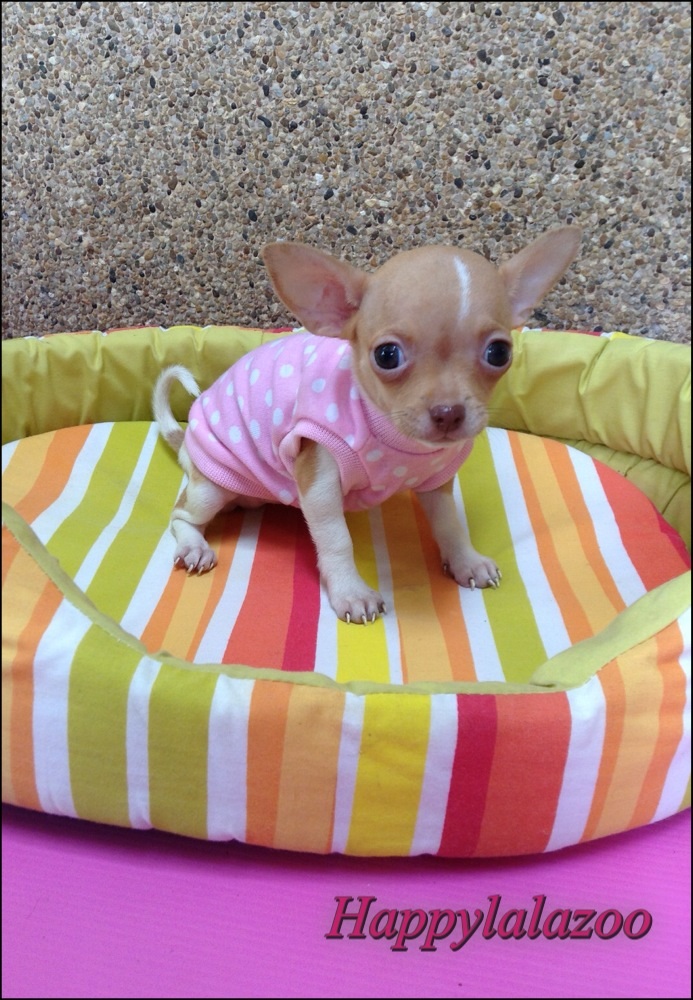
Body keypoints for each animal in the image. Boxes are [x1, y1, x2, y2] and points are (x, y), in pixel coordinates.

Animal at [153, 227, 581, 623]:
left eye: (499, 353)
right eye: (387, 355)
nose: (448, 412)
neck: (395, 438)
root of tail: (185, 440)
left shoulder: (437, 482)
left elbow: (450, 524)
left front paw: (465, 560)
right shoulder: (319, 482)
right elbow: (336, 538)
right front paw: (350, 591)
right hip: (210, 485)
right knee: (180, 514)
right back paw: (193, 546)